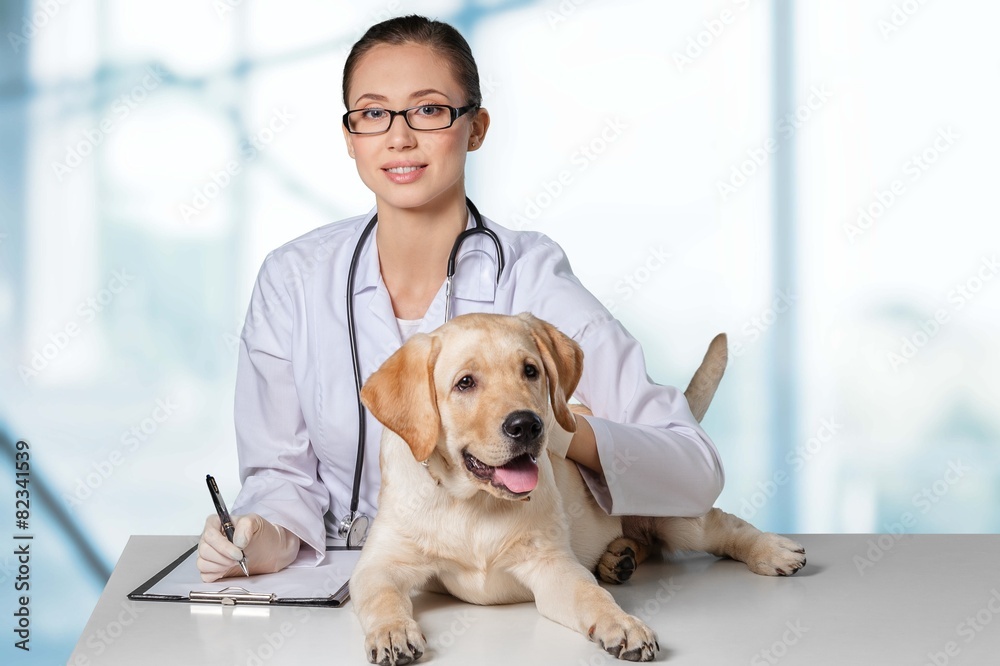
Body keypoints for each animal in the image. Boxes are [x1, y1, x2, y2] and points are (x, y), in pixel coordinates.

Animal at [352, 314, 804, 660]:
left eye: (530, 370)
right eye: (465, 383)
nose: (528, 425)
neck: (474, 502)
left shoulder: (552, 565)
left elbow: (591, 595)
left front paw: (622, 624)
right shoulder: (379, 565)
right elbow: (382, 597)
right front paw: (393, 631)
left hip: (673, 506)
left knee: (721, 525)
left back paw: (772, 551)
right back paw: (618, 557)